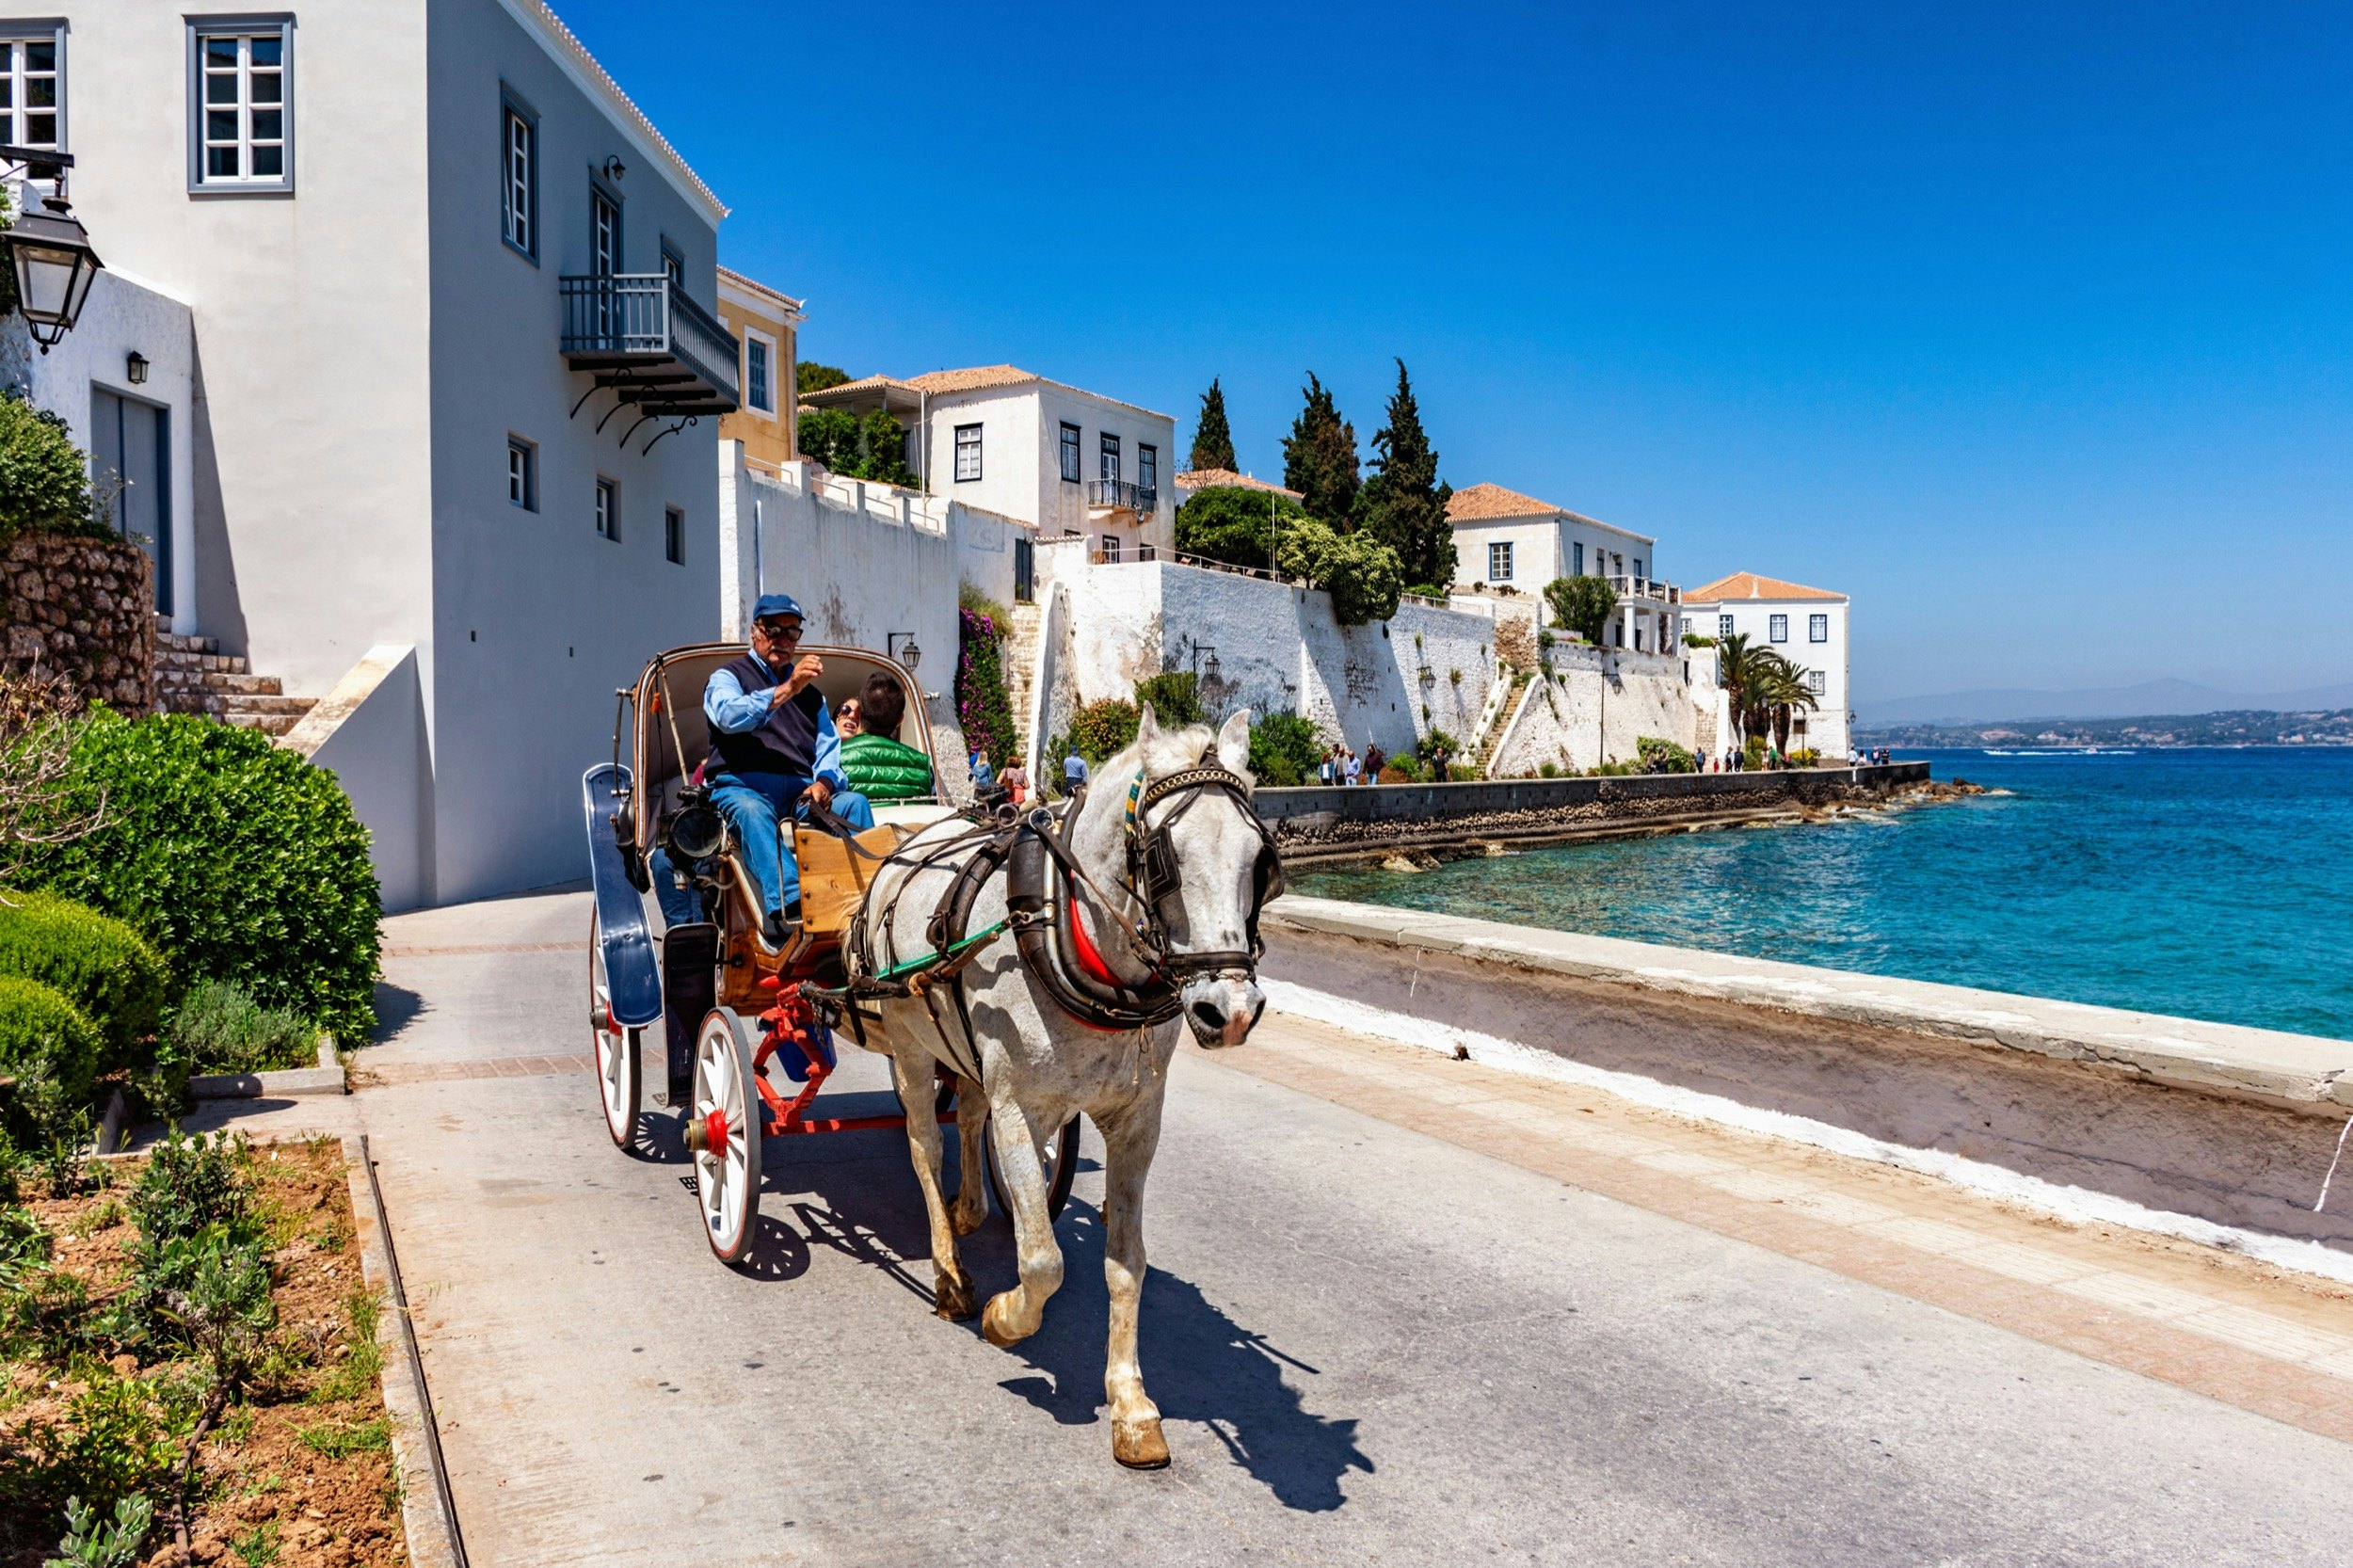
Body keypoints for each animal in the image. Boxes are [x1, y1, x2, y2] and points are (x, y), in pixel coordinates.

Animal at [861, 701, 1271, 1459]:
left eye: (1260, 860)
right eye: (1163, 861)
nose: (1228, 1012)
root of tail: (909, 840)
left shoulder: (1138, 1122)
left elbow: (1126, 1263)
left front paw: (1131, 1401)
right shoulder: (1020, 1111)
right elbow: (1043, 1262)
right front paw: (1003, 1317)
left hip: (963, 1047)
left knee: (966, 1113)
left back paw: (969, 1208)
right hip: (907, 1043)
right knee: (923, 1147)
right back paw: (949, 1272)